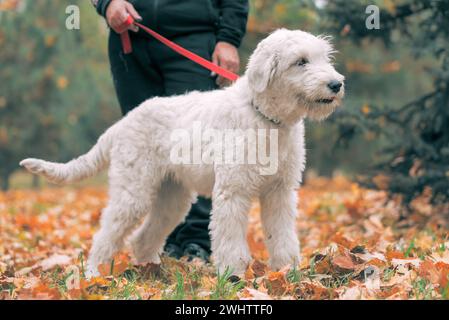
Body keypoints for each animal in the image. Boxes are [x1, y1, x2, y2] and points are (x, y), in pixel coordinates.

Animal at [20, 28, 344, 276]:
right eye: (300, 61)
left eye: (323, 58)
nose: (336, 84)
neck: (265, 118)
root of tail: (124, 122)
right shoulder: (233, 192)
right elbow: (230, 241)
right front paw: (234, 276)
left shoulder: (280, 192)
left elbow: (283, 237)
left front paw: (288, 271)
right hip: (133, 193)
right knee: (105, 235)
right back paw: (93, 275)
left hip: (171, 197)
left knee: (142, 239)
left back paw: (151, 272)